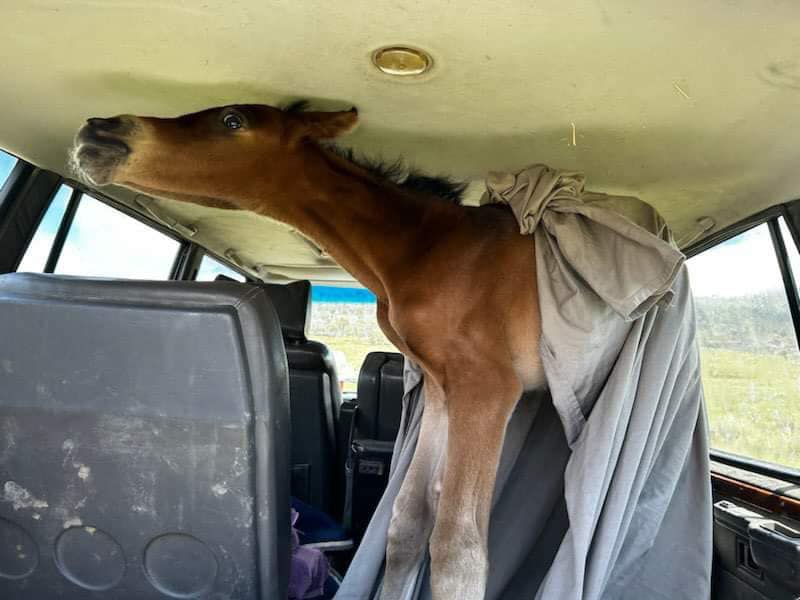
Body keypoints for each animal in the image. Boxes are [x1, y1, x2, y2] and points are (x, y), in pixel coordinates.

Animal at [72, 104, 548, 600]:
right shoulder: (440, 388)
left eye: (232, 120)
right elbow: (408, 522)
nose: (101, 131)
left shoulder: (489, 388)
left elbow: (458, 548)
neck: (428, 249)